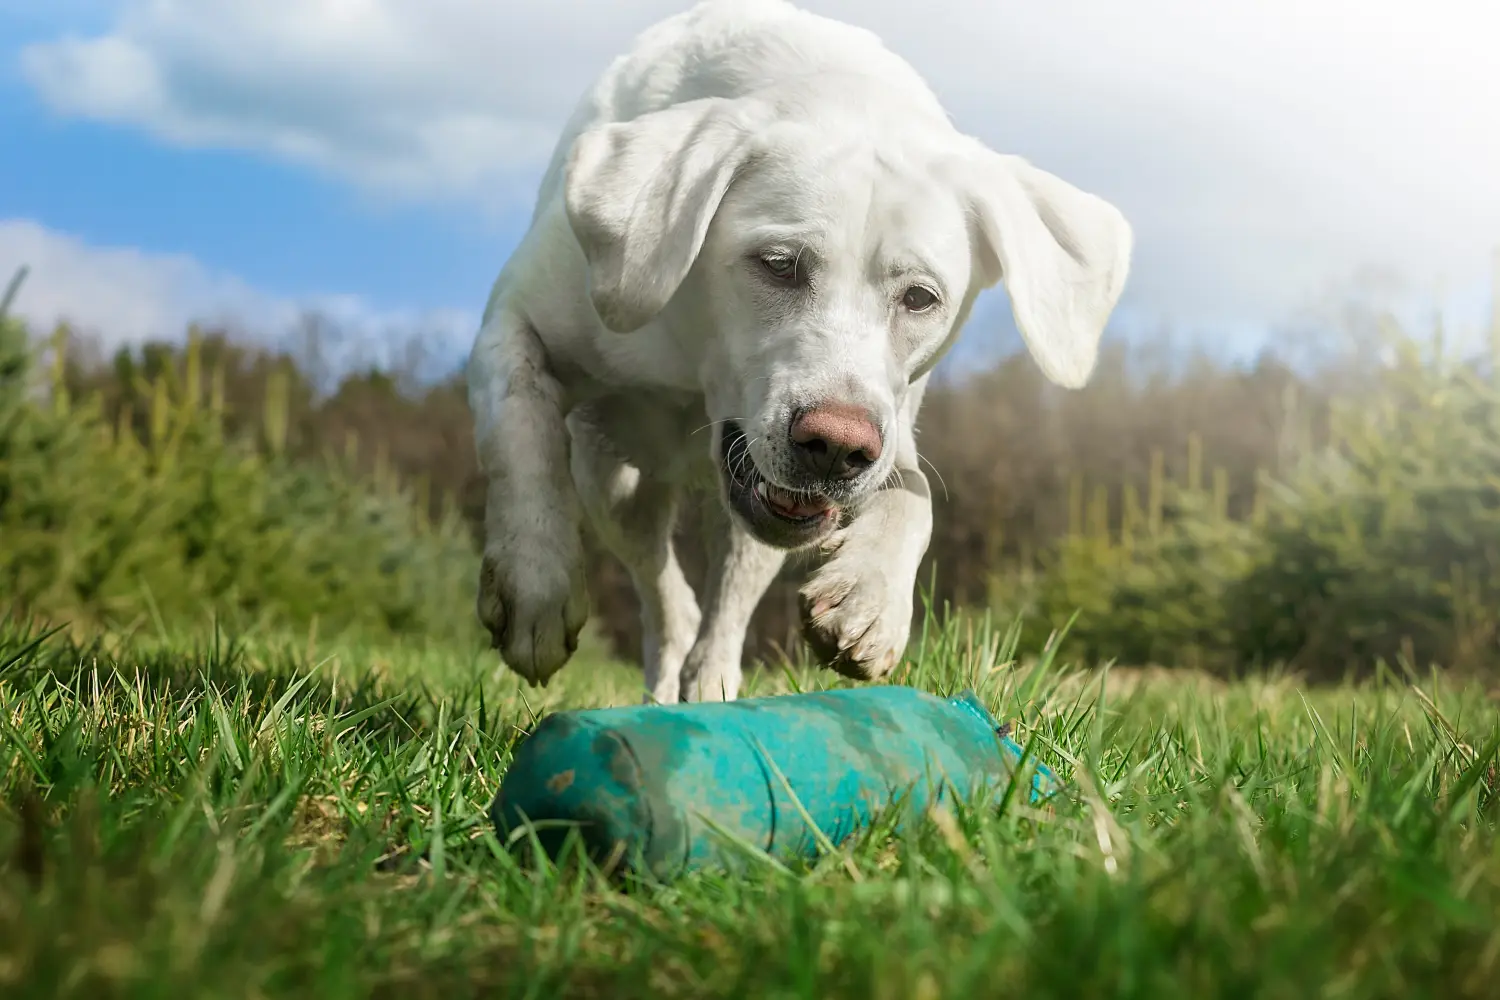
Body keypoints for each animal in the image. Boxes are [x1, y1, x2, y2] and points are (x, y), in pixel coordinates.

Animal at [462, 0, 1128, 704]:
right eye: (779, 264)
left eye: (921, 298)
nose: (837, 446)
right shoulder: (514, 325)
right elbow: (520, 437)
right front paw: (535, 587)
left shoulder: (890, 426)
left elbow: (915, 491)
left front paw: (870, 597)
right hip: (612, 481)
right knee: (665, 593)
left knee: (723, 596)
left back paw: (710, 683)